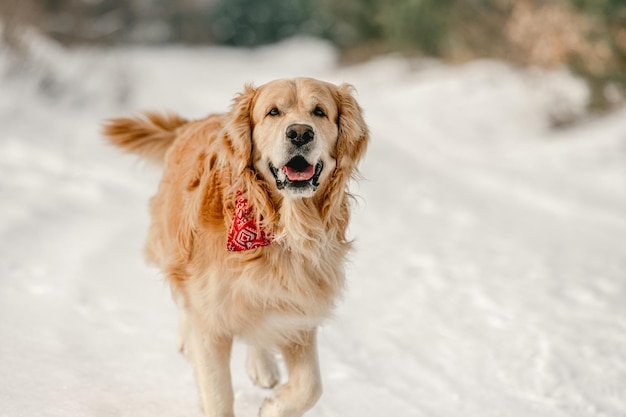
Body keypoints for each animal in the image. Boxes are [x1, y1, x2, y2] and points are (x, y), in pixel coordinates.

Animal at [102, 76, 366, 414]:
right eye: (273, 112)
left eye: (319, 111)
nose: (300, 133)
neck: (279, 230)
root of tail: (196, 122)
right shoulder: (211, 320)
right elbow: (218, 394)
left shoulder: (299, 311)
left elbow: (311, 387)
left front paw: (273, 406)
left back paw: (262, 365)